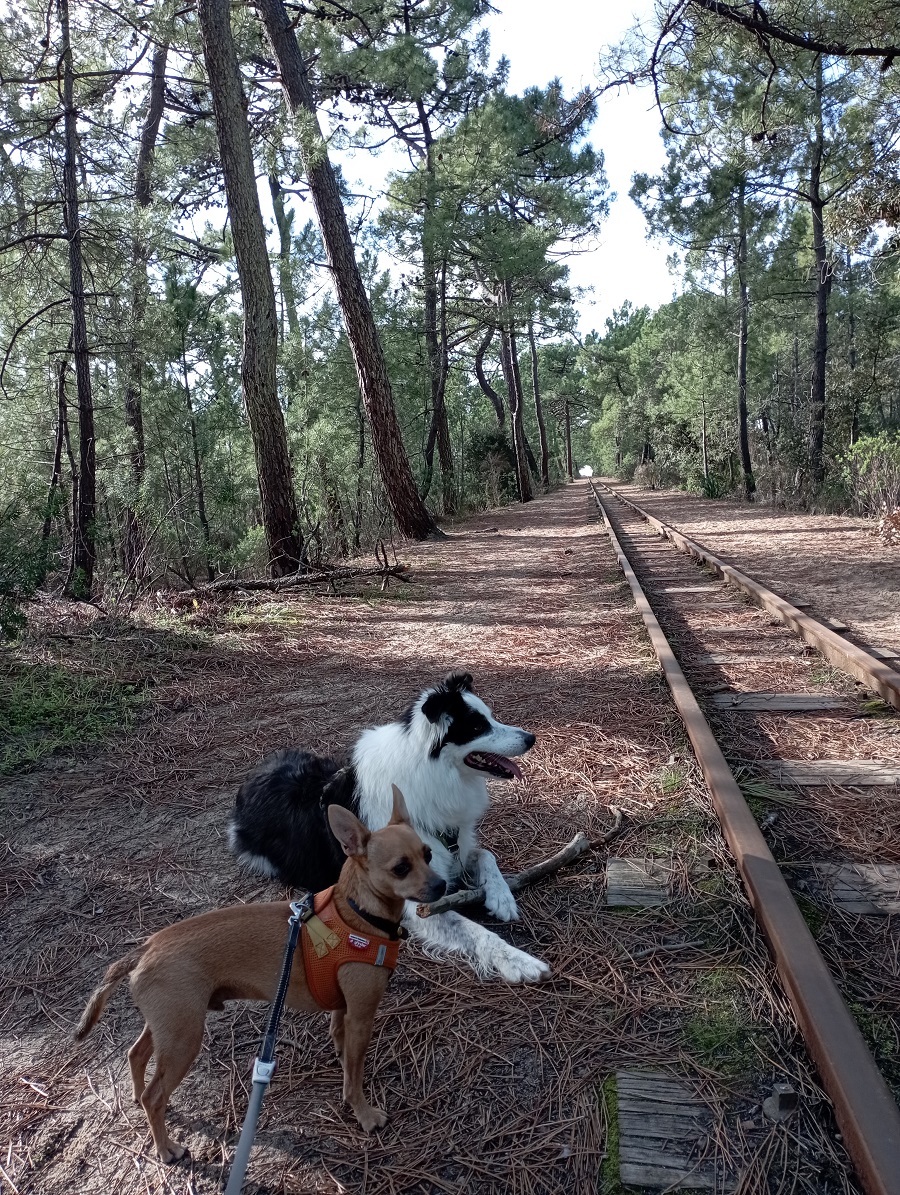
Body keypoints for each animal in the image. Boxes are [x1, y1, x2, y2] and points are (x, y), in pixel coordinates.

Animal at [75, 788, 444, 1161]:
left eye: (428, 854)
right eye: (401, 868)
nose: (443, 884)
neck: (356, 914)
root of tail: (146, 948)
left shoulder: (345, 1011)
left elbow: (344, 1053)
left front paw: (344, 1075)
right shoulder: (361, 1016)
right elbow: (355, 1075)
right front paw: (364, 1113)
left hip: (168, 1027)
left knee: (136, 1055)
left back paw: (138, 1099)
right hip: (183, 1040)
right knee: (156, 1095)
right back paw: (165, 1148)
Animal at [225, 673, 547, 979]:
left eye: (490, 718)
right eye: (479, 727)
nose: (531, 738)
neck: (432, 775)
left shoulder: (455, 846)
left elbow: (485, 855)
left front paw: (501, 897)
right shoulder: (417, 901)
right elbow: (476, 931)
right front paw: (518, 961)